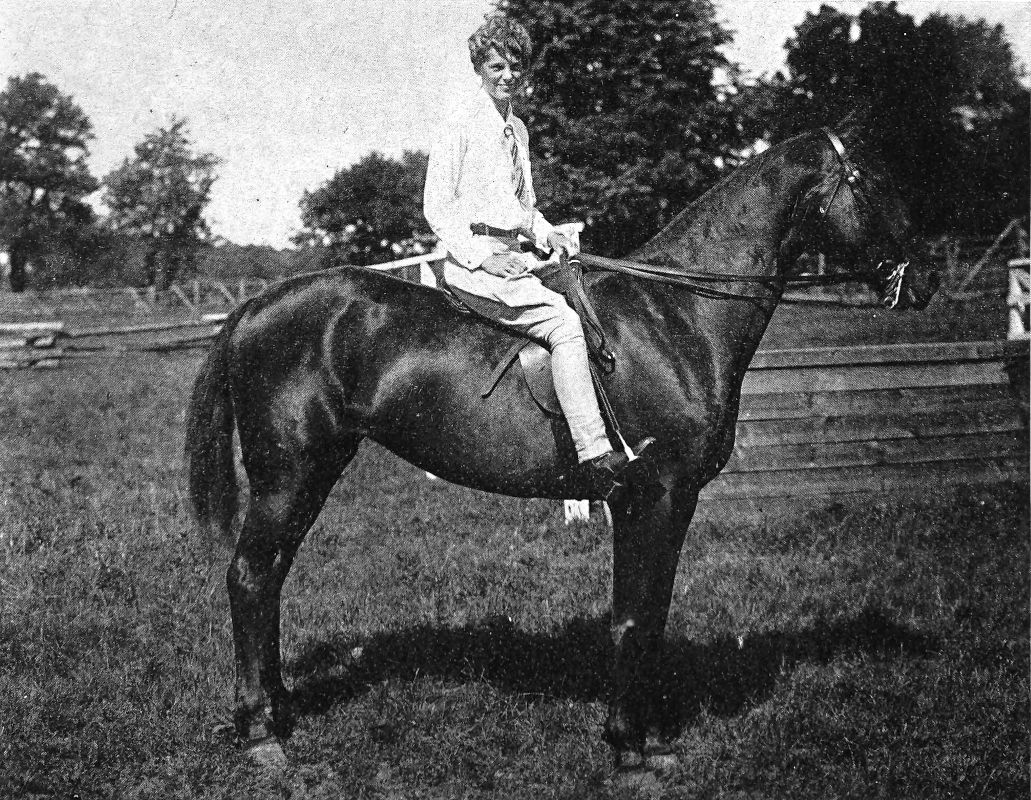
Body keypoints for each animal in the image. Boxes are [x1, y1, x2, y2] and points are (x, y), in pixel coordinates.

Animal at [185, 124, 936, 769]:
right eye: (872, 181)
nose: (923, 282)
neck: (677, 318)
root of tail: (256, 307)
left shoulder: (673, 501)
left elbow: (652, 612)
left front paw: (651, 736)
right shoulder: (652, 494)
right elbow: (633, 617)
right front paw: (627, 743)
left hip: (313, 472)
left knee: (270, 575)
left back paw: (279, 713)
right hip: (288, 474)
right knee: (249, 575)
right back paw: (260, 732)